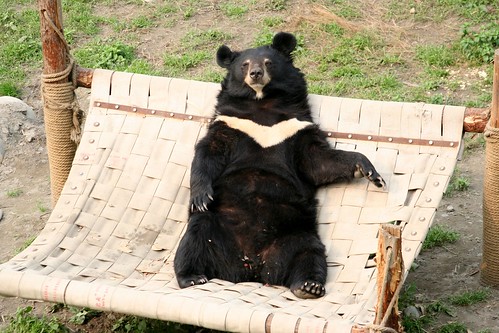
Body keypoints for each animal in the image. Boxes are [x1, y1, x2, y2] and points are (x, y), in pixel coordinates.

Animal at [174, 31, 384, 298]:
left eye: (268, 62)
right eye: (244, 65)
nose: (255, 74)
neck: (262, 104)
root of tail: (250, 266)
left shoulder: (296, 127)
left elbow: (319, 162)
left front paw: (371, 172)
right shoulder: (230, 123)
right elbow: (207, 153)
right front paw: (201, 197)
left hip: (296, 234)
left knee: (309, 254)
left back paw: (309, 286)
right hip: (214, 225)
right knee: (194, 240)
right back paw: (191, 277)